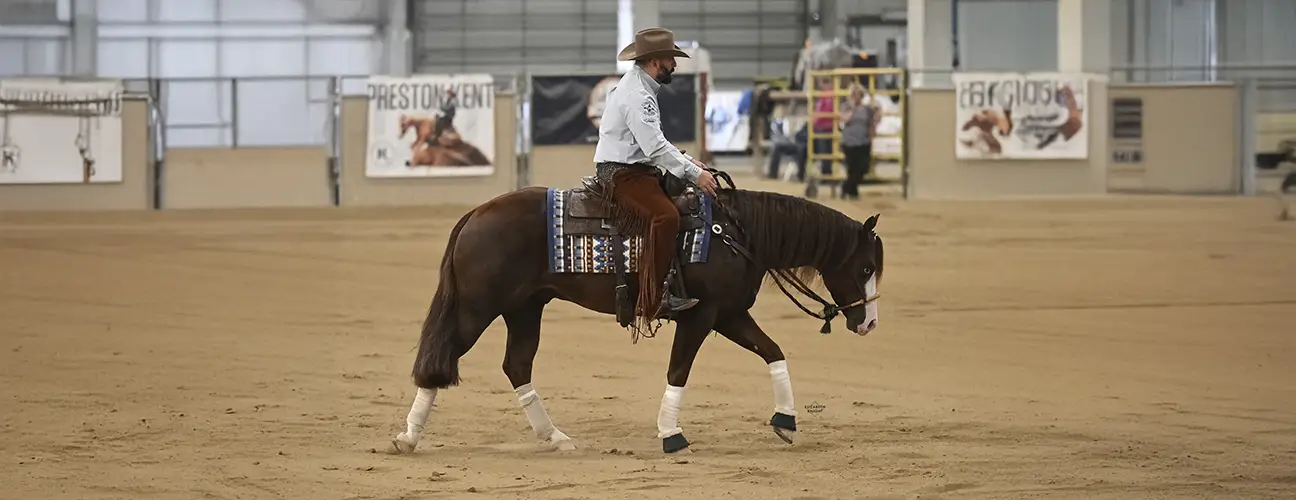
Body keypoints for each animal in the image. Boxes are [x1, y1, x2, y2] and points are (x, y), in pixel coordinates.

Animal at [390, 169, 885, 455]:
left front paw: (785, 420)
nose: (869, 323)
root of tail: (475, 213)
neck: (733, 233)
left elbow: (773, 352)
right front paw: (671, 435)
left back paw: (554, 437)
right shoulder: (700, 316)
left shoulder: (729, 315)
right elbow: (679, 370)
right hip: (478, 308)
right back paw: (409, 437)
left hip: (524, 309)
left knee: (517, 365)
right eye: (864, 267)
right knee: (443, 358)